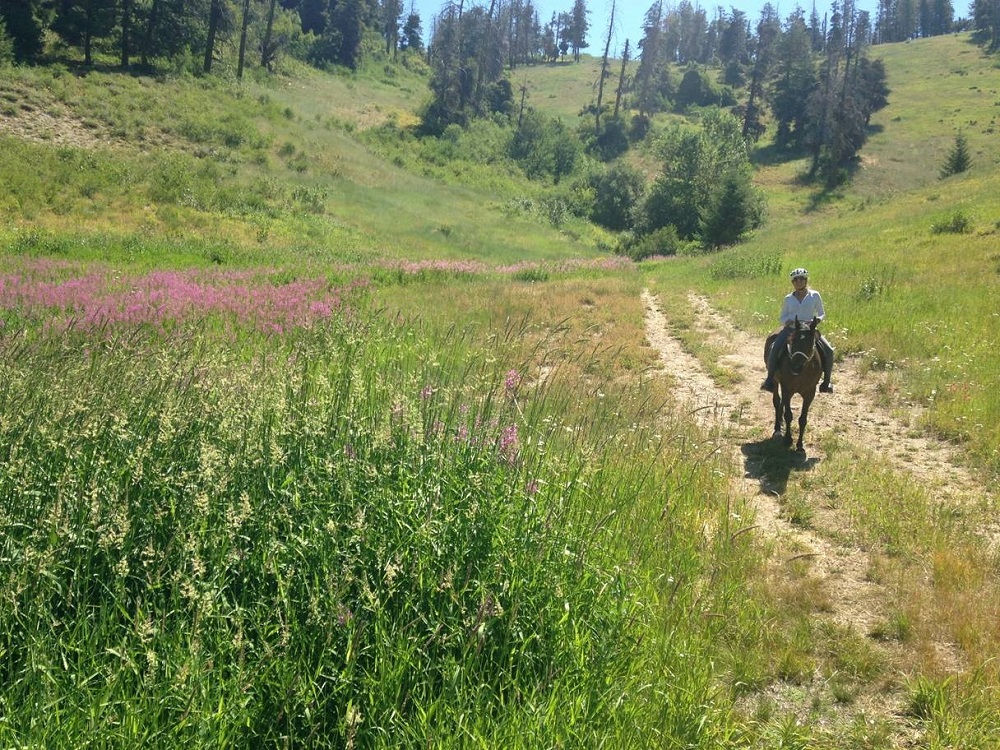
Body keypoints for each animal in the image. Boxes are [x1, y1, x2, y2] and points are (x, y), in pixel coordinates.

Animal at [764, 316, 823, 452]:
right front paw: (787, 440)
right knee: (777, 401)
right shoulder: (787, 389)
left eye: (810, 343)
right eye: (792, 340)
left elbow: (802, 419)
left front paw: (800, 445)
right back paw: (777, 429)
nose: (795, 368)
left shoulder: (809, 393)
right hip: (775, 382)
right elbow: (788, 415)